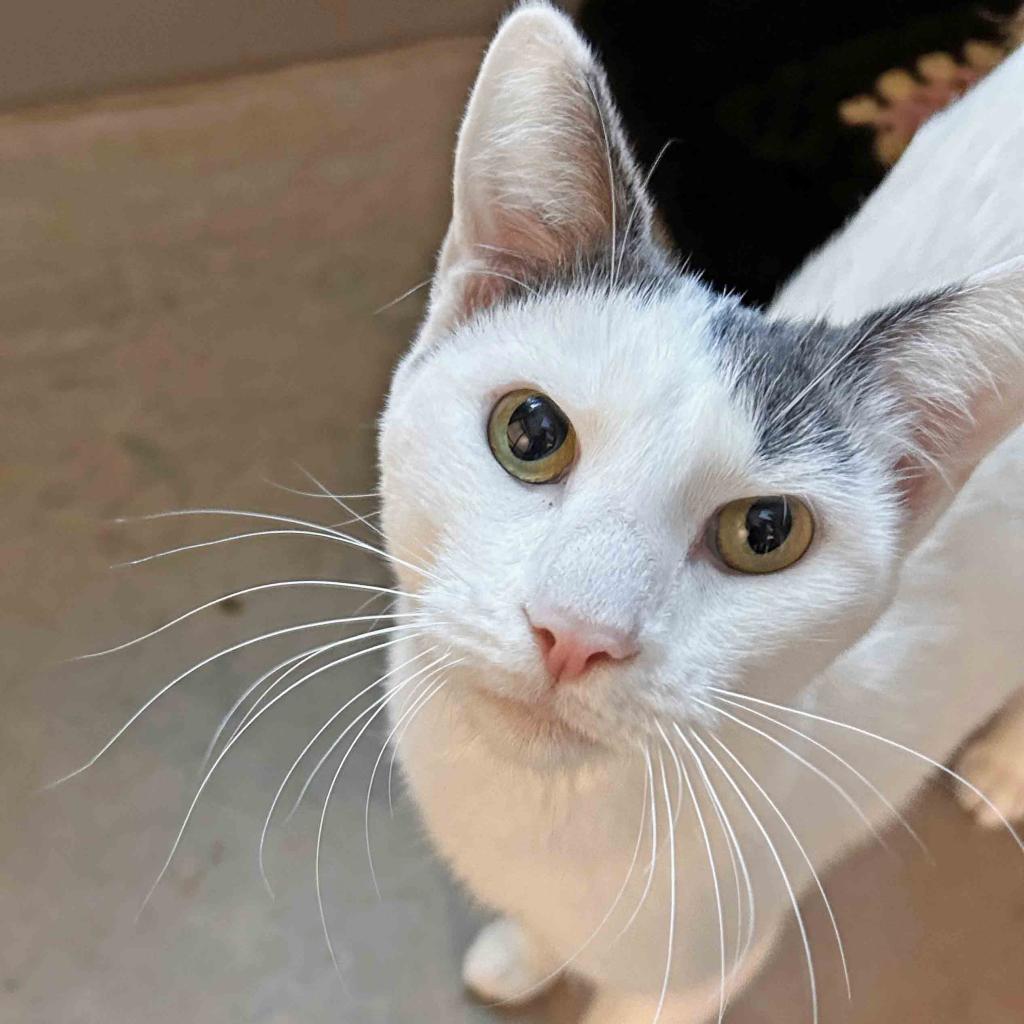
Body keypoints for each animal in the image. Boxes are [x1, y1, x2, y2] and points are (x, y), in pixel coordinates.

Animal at [380, 6, 1024, 1015]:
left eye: (766, 533)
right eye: (530, 431)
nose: (575, 633)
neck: (538, 815)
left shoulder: (711, 962)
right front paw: (525, 954)